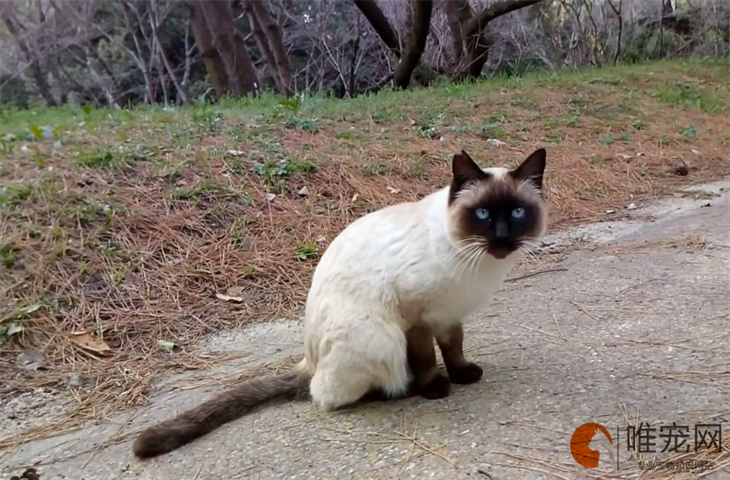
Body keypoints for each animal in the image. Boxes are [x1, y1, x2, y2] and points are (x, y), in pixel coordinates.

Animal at [134, 146, 548, 458]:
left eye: (516, 212)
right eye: (483, 213)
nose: (502, 238)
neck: (476, 264)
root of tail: (309, 360)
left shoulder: (447, 315)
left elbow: (454, 348)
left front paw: (463, 375)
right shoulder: (417, 317)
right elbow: (428, 359)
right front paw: (436, 387)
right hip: (382, 337)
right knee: (328, 395)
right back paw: (402, 388)